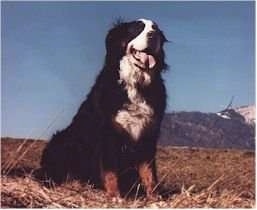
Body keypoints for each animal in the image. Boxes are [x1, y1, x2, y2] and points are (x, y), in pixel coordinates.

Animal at [40, 17, 167, 197]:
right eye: (137, 28)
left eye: (155, 28)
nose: (153, 35)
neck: (136, 84)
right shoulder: (108, 134)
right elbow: (110, 171)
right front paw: (115, 196)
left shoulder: (148, 135)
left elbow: (149, 172)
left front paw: (155, 196)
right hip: (61, 142)